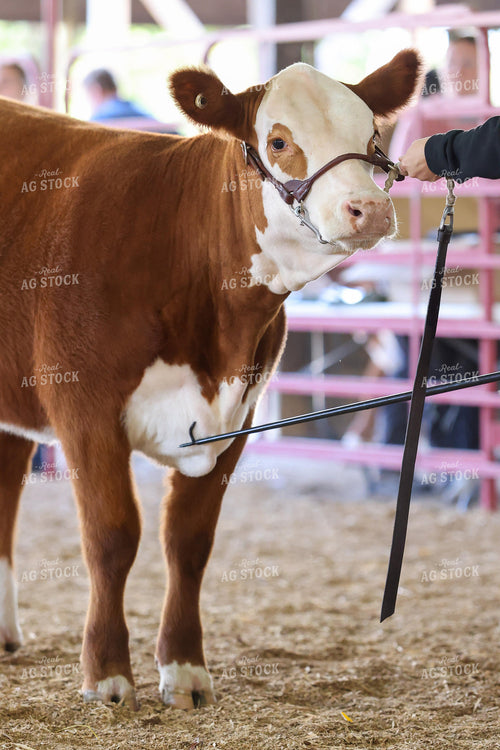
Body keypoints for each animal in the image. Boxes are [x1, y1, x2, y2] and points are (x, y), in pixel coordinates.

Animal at [0, 49, 421, 710]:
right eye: (278, 141)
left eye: (372, 138)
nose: (370, 209)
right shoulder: (84, 408)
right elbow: (112, 536)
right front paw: (108, 677)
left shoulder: (238, 419)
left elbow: (189, 541)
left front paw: (185, 670)